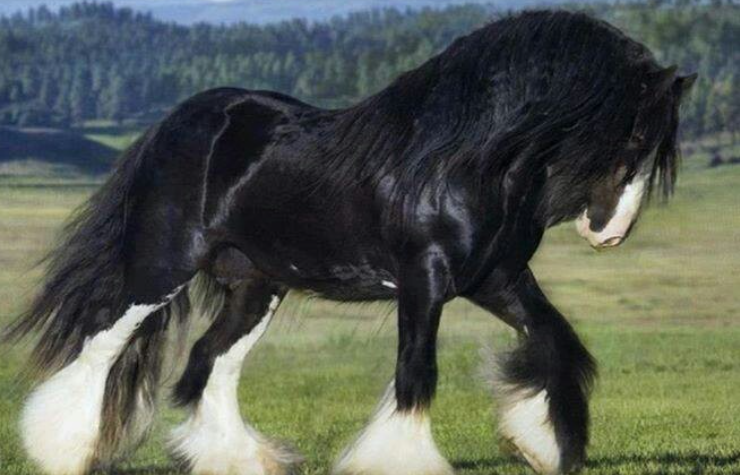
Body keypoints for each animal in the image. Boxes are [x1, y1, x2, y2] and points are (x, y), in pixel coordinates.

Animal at [5, 10, 695, 475]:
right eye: (632, 137)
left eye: (655, 148)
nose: (608, 233)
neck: (466, 160)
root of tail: (177, 124)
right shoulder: (424, 281)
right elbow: (416, 373)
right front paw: (400, 460)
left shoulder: (496, 281)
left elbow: (558, 343)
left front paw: (543, 444)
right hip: (161, 267)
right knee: (103, 346)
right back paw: (64, 450)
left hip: (256, 285)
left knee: (209, 363)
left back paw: (238, 457)